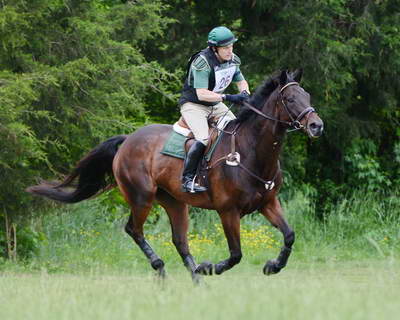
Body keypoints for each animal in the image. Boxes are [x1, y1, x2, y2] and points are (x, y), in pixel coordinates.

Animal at [26, 69, 324, 280]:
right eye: (289, 99)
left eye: (308, 97)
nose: (316, 126)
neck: (251, 151)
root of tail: (128, 139)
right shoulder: (228, 211)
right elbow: (236, 254)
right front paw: (210, 267)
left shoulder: (268, 203)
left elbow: (289, 235)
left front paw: (272, 266)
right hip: (142, 196)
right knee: (134, 229)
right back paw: (164, 268)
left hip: (174, 201)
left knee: (179, 240)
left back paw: (196, 278)